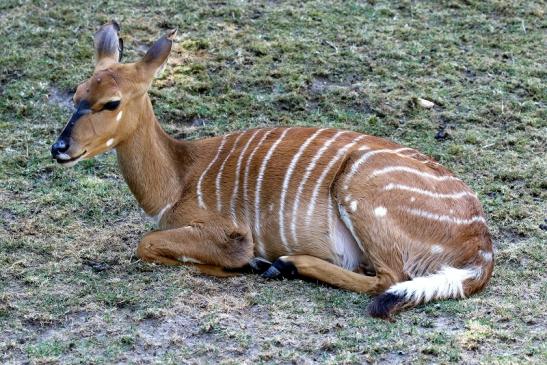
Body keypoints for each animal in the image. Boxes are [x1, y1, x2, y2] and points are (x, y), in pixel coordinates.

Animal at [51, 22, 494, 318]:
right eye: (77, 94)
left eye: (111, 102)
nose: (60, 148)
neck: (179, 177)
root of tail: (481, 245)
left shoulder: (228, 231)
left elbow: (148, 244)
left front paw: (245, 264)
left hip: (358, 189)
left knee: (388, 279)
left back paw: (283, 265)